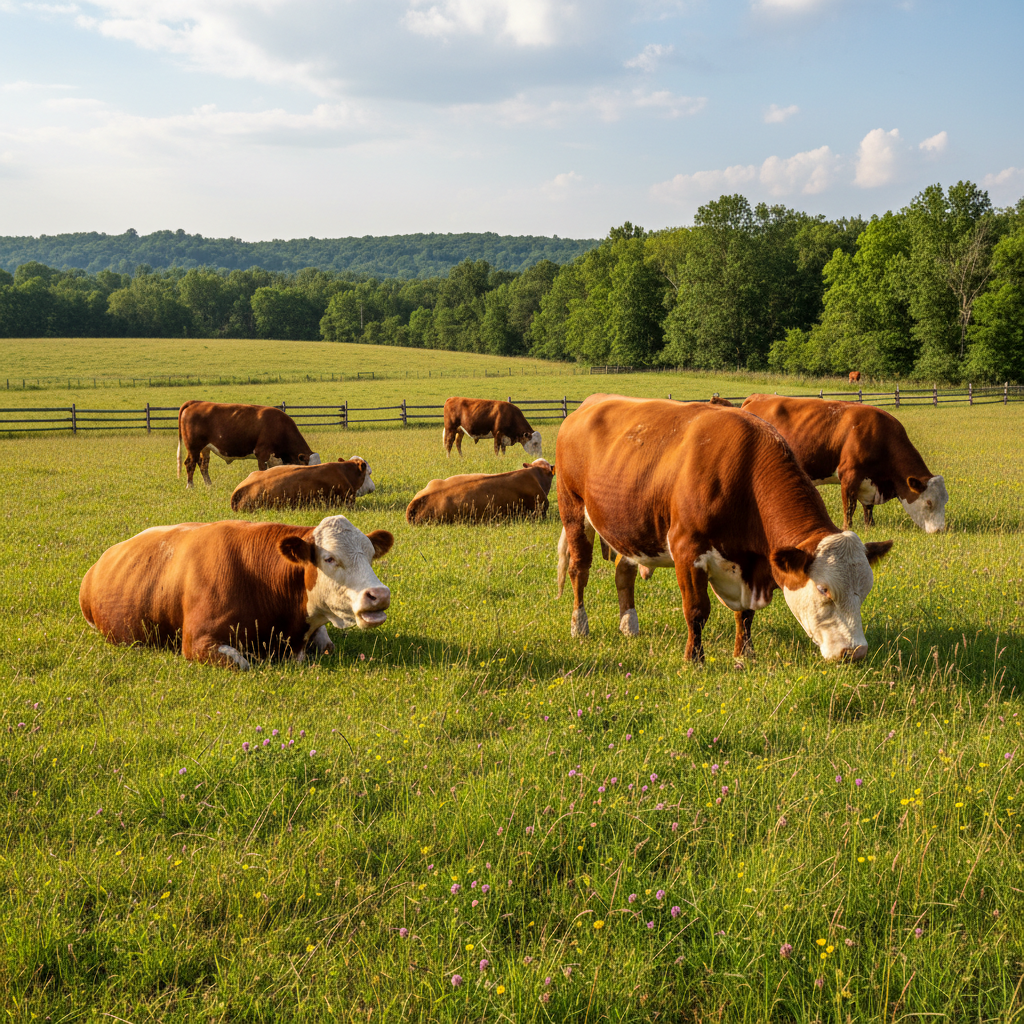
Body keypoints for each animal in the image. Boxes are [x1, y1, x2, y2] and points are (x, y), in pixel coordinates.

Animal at [79, 516, 393, 670]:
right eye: (329, 558)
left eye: (370, 555)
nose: (379, 594)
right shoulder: (197, 641)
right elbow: (242, 663)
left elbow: (327, 645)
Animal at [177, 401, 321, 488]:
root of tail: (197, 402)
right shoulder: (262, 454)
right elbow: (262, 471)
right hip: (193, 447)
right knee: (190, 464)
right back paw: (190, 487)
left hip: (205, 448)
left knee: (203, 465)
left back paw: (209, 486)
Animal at [555, 395, 893, 664]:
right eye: (824, 590)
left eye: (865, 591)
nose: (856, 652)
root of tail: (588, 404)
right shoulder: (687, 549)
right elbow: (696, 610)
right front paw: (694, 659)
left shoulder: (752, 566)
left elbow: (745, 614)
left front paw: (745, 654)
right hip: (573, 511)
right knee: (579, 570)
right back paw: (579, 626)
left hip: (627, 527)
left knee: (622, 572)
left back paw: (629, 626)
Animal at [740, 394, 948, 533]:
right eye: (929, 502)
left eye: (945, 501)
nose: (940, 530)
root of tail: (757, 397)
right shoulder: (849, 475)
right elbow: (849, 507)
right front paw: (848, 528)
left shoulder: (868, 482)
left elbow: (867, 508)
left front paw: (870, 526)